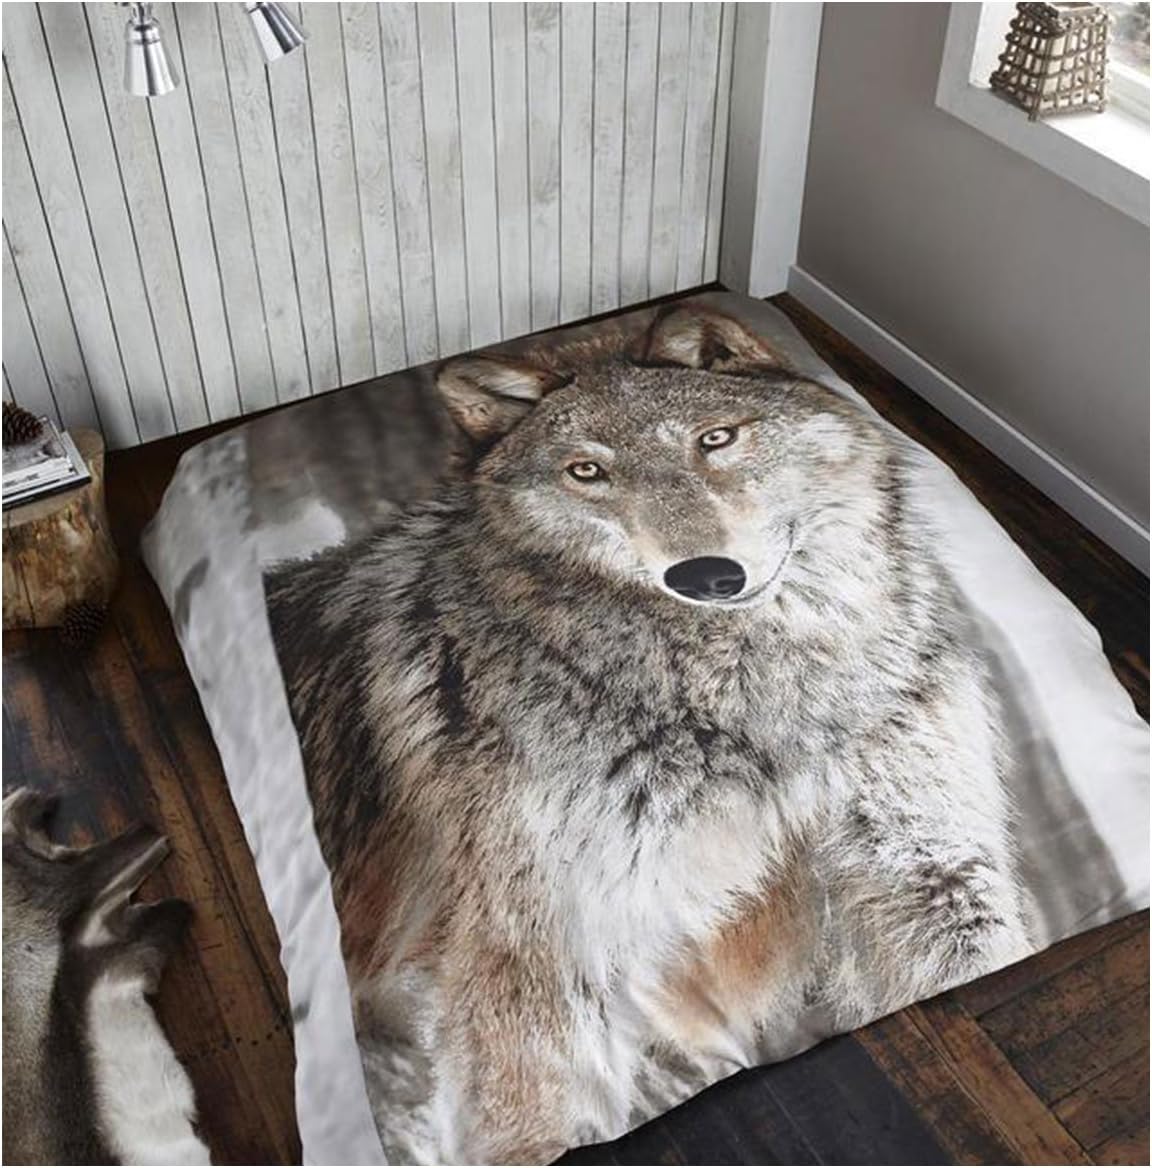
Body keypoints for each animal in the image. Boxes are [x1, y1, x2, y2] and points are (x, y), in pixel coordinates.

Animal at [266, 304, 1030, 1164]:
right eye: (587, 473)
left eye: (715, 439)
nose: (706, 577)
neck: (762, 709)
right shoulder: (540, 961)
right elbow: (538, 1126)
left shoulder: (933, 872)